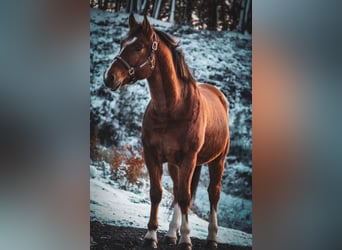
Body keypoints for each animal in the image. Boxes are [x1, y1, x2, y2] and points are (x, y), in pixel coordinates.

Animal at [102, 14, 230, 249]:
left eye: (138, 47)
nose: (109, 77)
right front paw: (151, 236)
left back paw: (212, 238)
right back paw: (171, 233)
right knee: (178, 191)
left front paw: (186, 240)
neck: (173, 108)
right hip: (174, 164)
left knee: (212, 194)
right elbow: (158, 193)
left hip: (218, 160)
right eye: (122, 43)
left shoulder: (189, 158)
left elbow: (186, 197)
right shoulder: (152, 155)